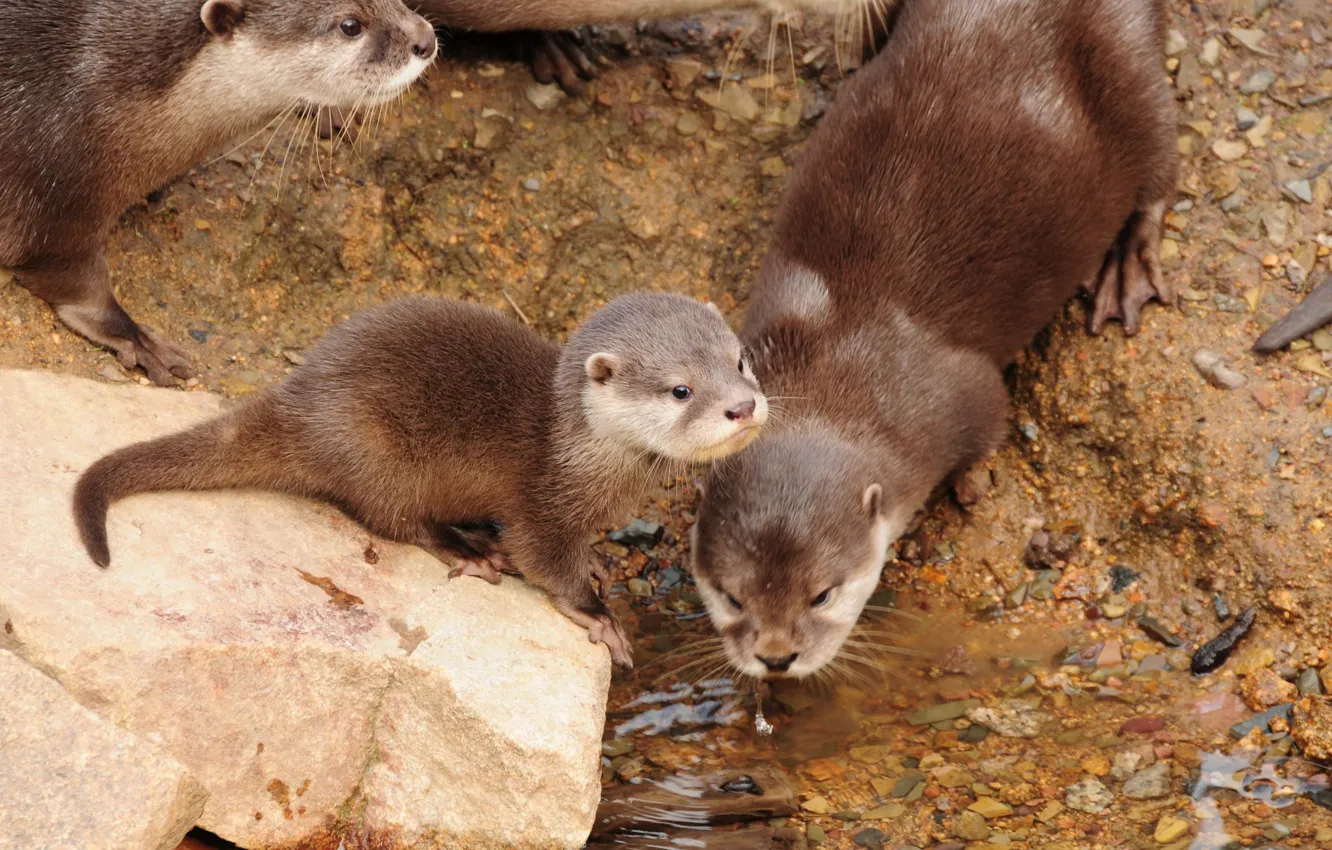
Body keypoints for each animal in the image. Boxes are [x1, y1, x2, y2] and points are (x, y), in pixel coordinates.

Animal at [0, 0, 436, 386]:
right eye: (350, 25)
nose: (426, 39)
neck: (102, 85)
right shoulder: (59, 186)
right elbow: (73, 279)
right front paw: (138, 340)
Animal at [72, 293, 772, 666]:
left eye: (739, 361)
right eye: (681, 390)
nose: (742, 406)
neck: (590, 459)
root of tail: (296, 399)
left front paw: (599, 562)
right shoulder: (542, 504)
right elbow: (542, 558)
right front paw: (600, 617)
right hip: (377, 452)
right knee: (394, 520)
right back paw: (470, 549)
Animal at [687, 0, 1177, 682]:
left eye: (823, 593)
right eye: (732, 596)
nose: (777, 657)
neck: (835, 360)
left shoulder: (968, 395)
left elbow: (988, 429)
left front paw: (972, 484)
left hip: (1125, 63)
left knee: (1159, 158)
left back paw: (1128, 263)